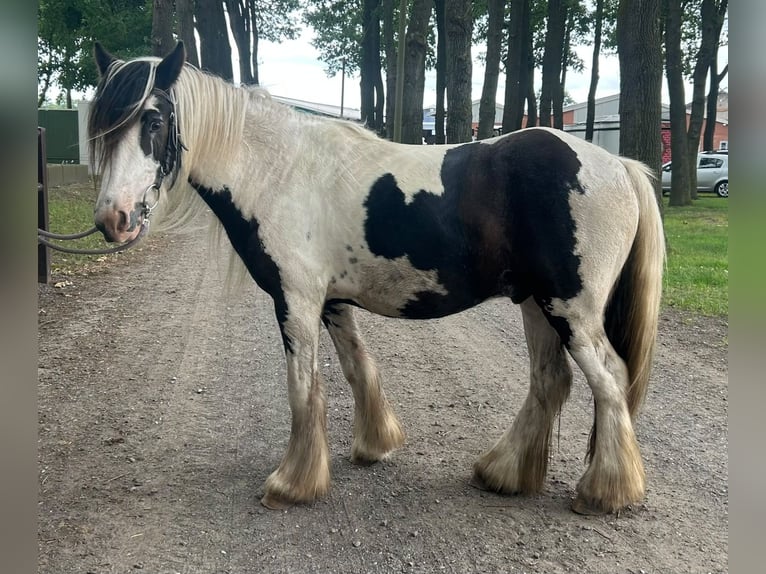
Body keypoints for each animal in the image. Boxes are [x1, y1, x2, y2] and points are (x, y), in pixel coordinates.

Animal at [88, 41, 665, 515]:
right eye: (105, 126)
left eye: (154, 121)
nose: (114, 219)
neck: (278, 171)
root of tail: (619, 165)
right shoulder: (331, 301)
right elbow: (355, 368)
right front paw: (373, 445)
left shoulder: (296, 300)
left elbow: (303, 387)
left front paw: (291, 484)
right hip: (535, 303)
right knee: (550, 381)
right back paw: (503, 473)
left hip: (571, 309)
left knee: (609, 379)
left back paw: (603, 492)